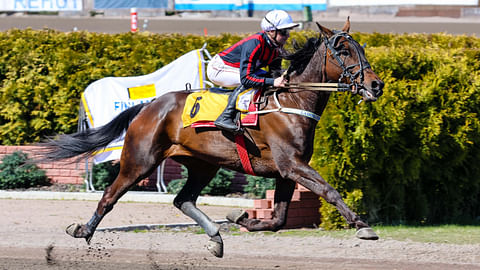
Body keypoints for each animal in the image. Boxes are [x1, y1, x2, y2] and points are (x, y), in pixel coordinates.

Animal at [41, 19, 386, 258]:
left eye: (361, 48)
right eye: (343, 50)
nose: (376, 85)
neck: (293, 101)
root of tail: (149, 106)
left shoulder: (287, 171)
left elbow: (278, 218)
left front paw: (242, 217)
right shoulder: (292, 165)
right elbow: (330, 191)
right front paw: (362, 226)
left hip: (202, 164)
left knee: (183, 200)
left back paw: (216, 237)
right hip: (139, 160)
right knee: (110, 195)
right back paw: (83, 230)